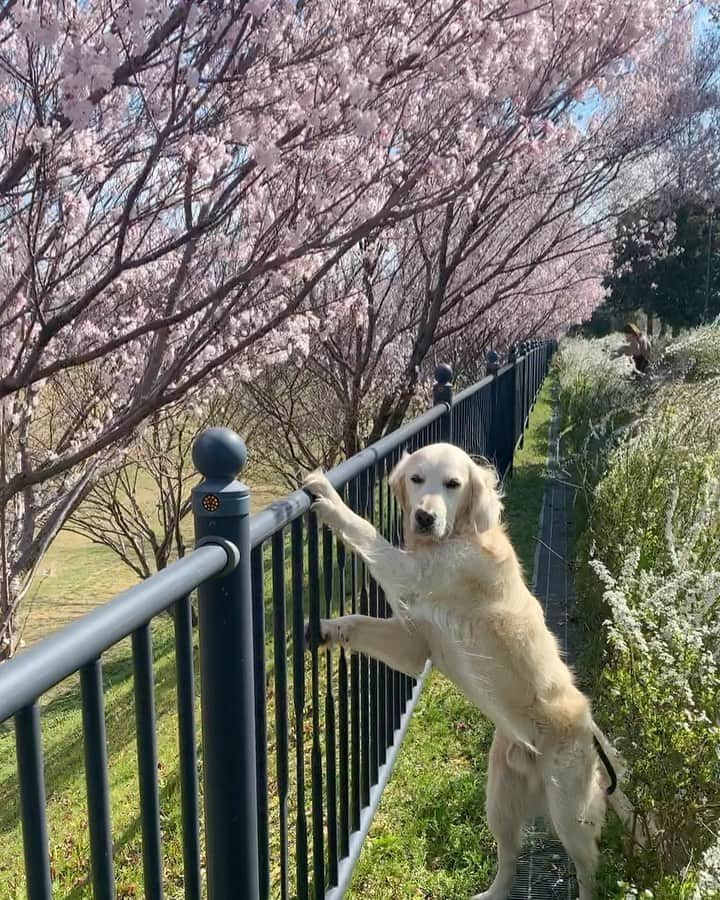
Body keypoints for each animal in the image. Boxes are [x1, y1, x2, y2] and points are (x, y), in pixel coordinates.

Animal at [300, 444, 640, 900]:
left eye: (452, 484)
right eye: (416, 479)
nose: (425, 517)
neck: (455, 537)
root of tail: (592, 731)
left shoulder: (416, 574)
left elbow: (366, 531)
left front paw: (328, 497)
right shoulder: (415, 645)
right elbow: (359, 621)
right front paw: (324, 629)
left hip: (571, 816)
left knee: (588, 870)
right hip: (500, 797)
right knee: (510, 858)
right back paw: (492, 892)